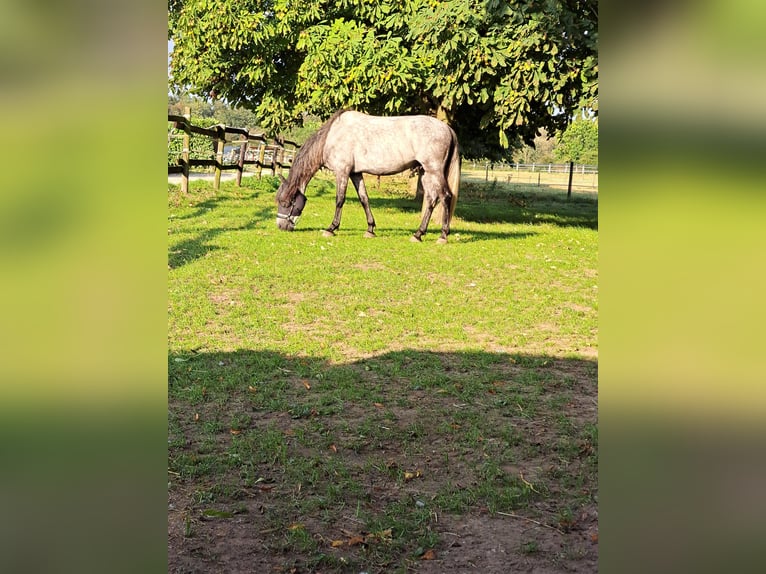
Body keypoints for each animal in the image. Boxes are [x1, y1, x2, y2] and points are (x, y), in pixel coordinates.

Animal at [274, 109, 460, 243]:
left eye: (287, 203)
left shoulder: (342, 171)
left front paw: (331, 228)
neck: (332, 137)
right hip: (427, 173)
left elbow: (340, 199)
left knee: (445, 197)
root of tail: (448, 129)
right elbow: (364, 199)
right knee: (431, 199)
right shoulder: (355, 173)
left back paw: (442, 236)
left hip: (434, 170)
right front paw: (370, 229)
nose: (281, 226)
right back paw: (418, 234)